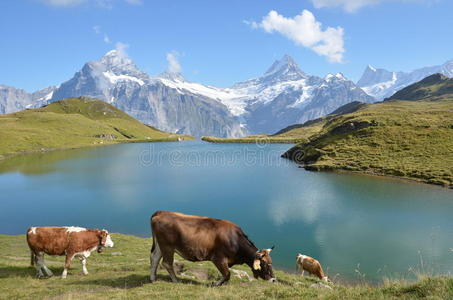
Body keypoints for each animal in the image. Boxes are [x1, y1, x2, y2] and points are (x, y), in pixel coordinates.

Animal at [148, 211, 276, 286]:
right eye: (264, 264)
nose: (274, 279)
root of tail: (161, 212)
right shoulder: (218, 258)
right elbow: (227, 274)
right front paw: (216, 283)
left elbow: (227, 275)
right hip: (167, 246)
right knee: (167, 263)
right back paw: (175, 280)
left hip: (160, 245)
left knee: (154, 258)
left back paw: (153, 278)